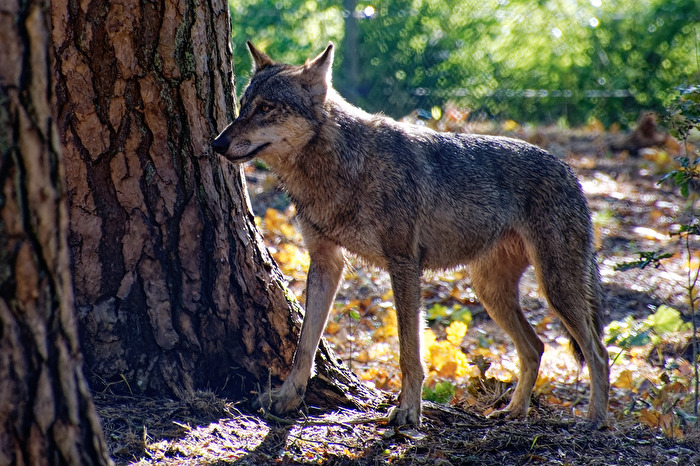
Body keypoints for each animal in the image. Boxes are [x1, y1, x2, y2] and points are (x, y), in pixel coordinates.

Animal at [212, 42, 610, 426]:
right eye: (243, 106)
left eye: (266, 108)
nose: (216, 144)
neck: (342, 166)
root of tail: (570, 171)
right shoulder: (326, 263)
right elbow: (304, 345)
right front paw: (287, 398)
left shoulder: (403, 264)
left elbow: (408, 353)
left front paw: (407, 413)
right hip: (491, 293)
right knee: (536, 347)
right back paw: (514, 411)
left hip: (555, 288)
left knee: (598, 352)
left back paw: (595, 421)